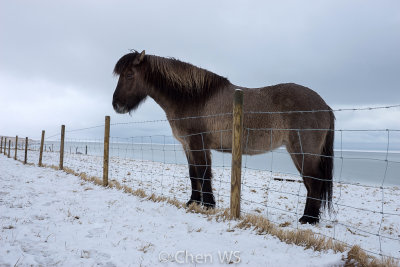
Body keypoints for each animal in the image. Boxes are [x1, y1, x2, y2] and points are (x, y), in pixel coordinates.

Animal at [112, 50, 334, 226]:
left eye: (129, 74)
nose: (116, 105)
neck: (193, 98)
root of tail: (324, 105)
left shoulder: (198, 144)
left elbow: (203, 173)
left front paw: (208, 205)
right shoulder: (187, 146)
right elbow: (193, 174)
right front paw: (193, 202)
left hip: (303, 152)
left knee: (314, 182)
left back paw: (308, 219)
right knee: (311, 184)